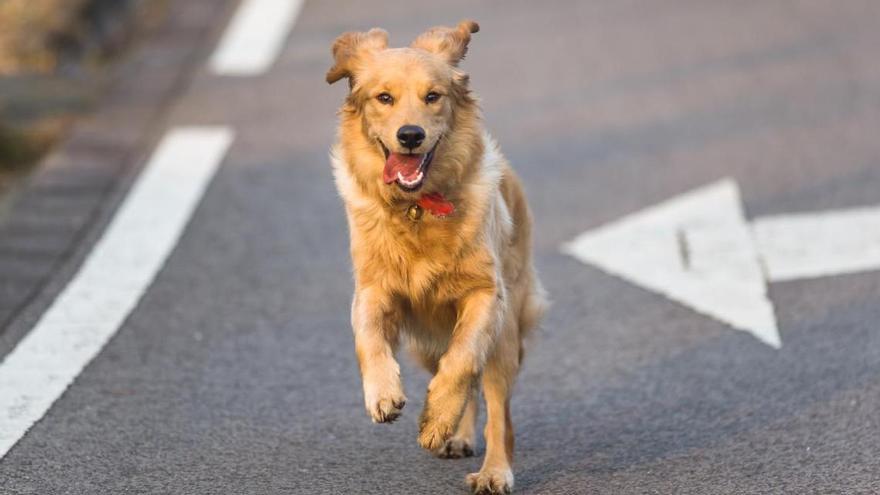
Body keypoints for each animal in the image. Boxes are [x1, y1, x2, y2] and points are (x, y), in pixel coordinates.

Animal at [326, 21, 548, 494]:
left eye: (433, 96)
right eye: (384, 97)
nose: (410, 135)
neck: (417, 208)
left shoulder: (486, 295)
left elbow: (462, 361)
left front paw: (438, 417)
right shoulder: (372, 289)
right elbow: (367, 338)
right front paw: (382, 393)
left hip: (505, 334)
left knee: (494, 406)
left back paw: (491, 469)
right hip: (422, 346)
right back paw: (456, 435)